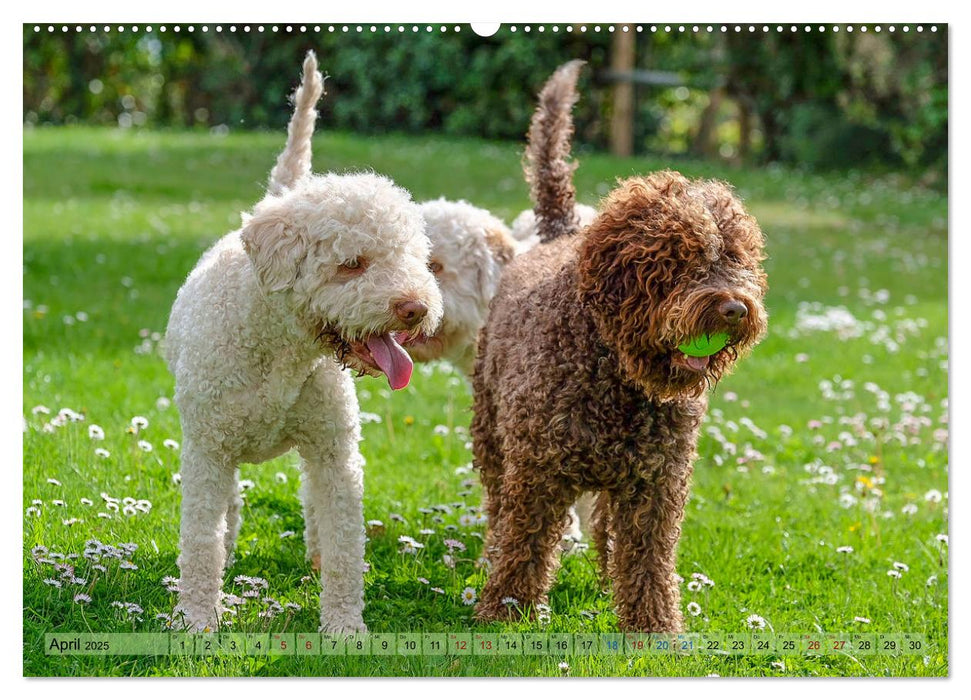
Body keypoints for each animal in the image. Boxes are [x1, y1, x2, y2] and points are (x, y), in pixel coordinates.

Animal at [165, 53, 442, 636]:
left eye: (413, 256)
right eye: (352, 263)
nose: (415, 308)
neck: (278, 347)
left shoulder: (335, 452)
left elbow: (343, 544)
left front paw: (344, 627)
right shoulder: (208, 450)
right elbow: (201, 541)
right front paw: (197, 619)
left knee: (314, 507)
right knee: (228, 510)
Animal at [474, 60, 772, 632]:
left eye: (737, 257)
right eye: (679, 258)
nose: (735, 309)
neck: (613, 372)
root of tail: (560, 232)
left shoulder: (655, 484)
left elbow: (649, 560)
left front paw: (653, 628)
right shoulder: (538, 473)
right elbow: (524, 545)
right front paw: (505, 612)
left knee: (608, 531)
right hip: (490, 432)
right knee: (499, 508)